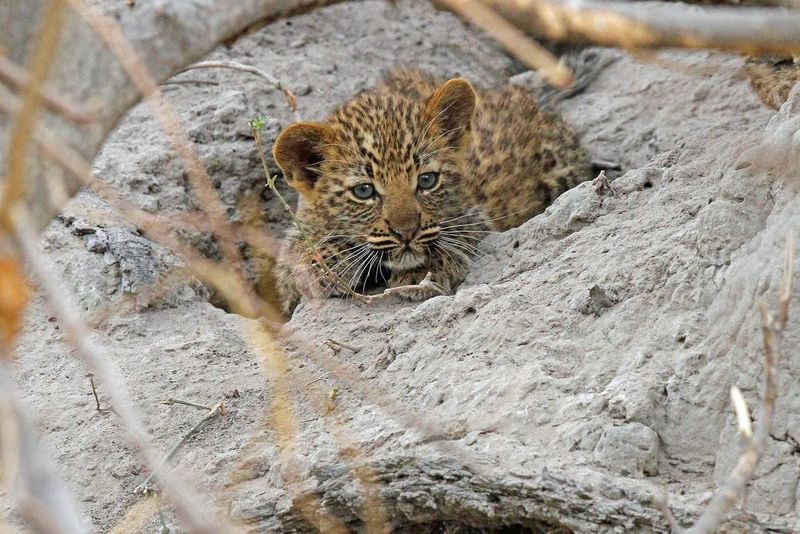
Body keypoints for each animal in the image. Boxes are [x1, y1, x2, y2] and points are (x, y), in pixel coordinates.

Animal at [271, 68, 592, 315]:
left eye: (427, 180)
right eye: (364, 191)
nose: (406, 232)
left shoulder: (474, 215)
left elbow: (456, 234)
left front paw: (421, 272)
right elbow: (292, 257)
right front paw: (322, 264)